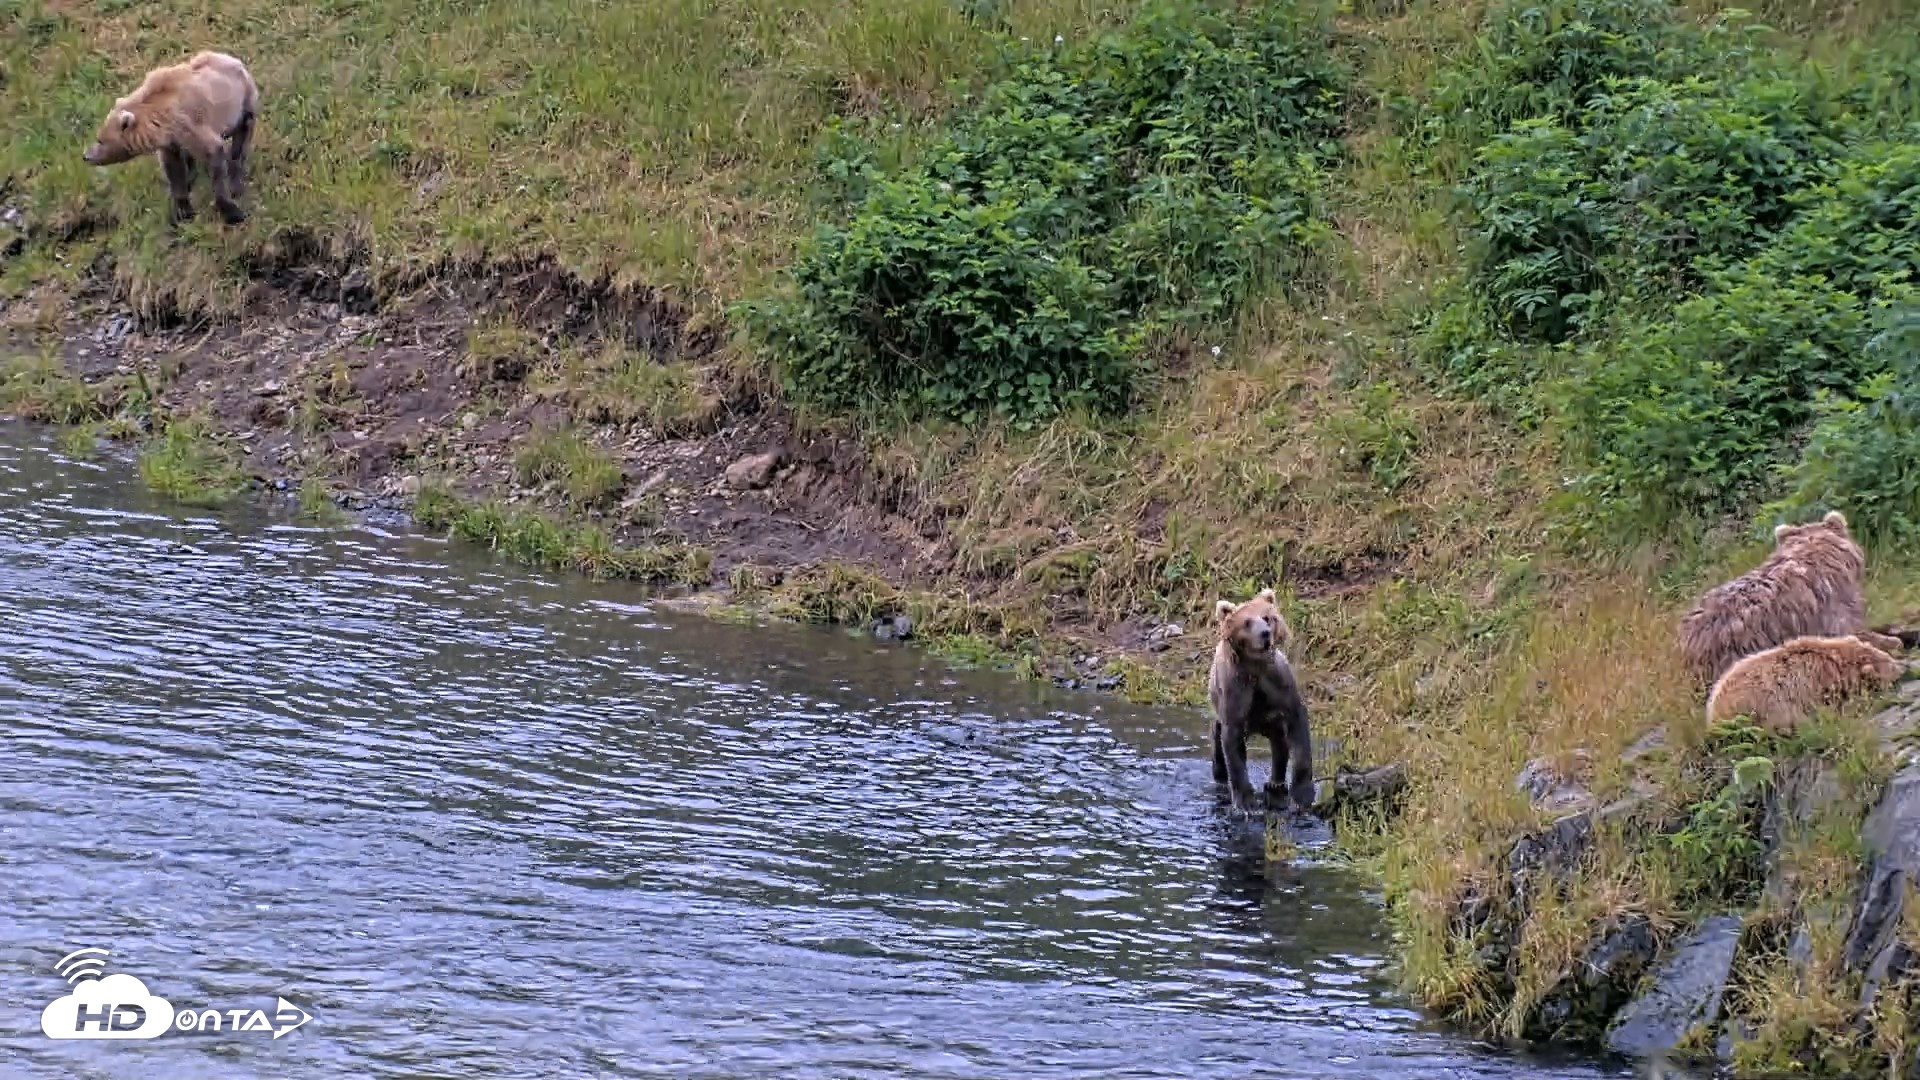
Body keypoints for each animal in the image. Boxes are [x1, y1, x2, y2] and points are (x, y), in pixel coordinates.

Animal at [82, 51, 260, 226]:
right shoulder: (170, 141)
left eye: (100, 140)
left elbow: (213, 155)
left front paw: (232, 212)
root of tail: (233, 59)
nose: (86, 155)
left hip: (243, 103)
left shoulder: (188, 124)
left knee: (241, 140)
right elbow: (174, 170)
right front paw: (183, 211)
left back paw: (236, 183)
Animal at [1207, 587, 1314, 816]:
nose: (1265, 633)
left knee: (1279, 740)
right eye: (1246, 622)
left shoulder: (1279, 687)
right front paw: (1246, 804)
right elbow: (1233, 747)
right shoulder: (1237, 694)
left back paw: (1276, 783)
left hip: (1272, 718)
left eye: (1267, 617)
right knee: (1217, 733)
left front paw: (1302, 796)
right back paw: (1220, 775)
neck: (1256, 668)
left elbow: (1299, 731)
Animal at [1705, 634, 1905, 735]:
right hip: (1750, 707)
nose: (1902, 668)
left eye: (1889, 658)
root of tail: (1712, 710)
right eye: (1890, 664)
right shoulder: (1808, 686)